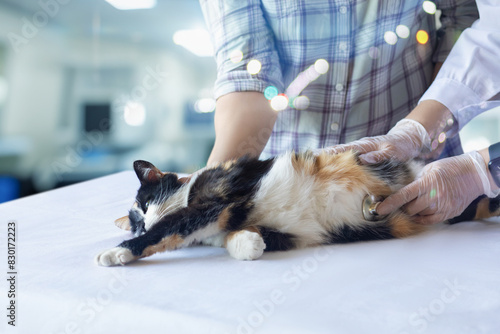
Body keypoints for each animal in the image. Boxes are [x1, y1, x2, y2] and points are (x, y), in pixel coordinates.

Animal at [94, 151, 500, 266]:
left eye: (146, 203)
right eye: (135, 220)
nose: (142, 222)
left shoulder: (219, 198)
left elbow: (172, 227)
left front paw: (116, 252)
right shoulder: (295, 233)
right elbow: (240, 236)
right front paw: (248, 244)